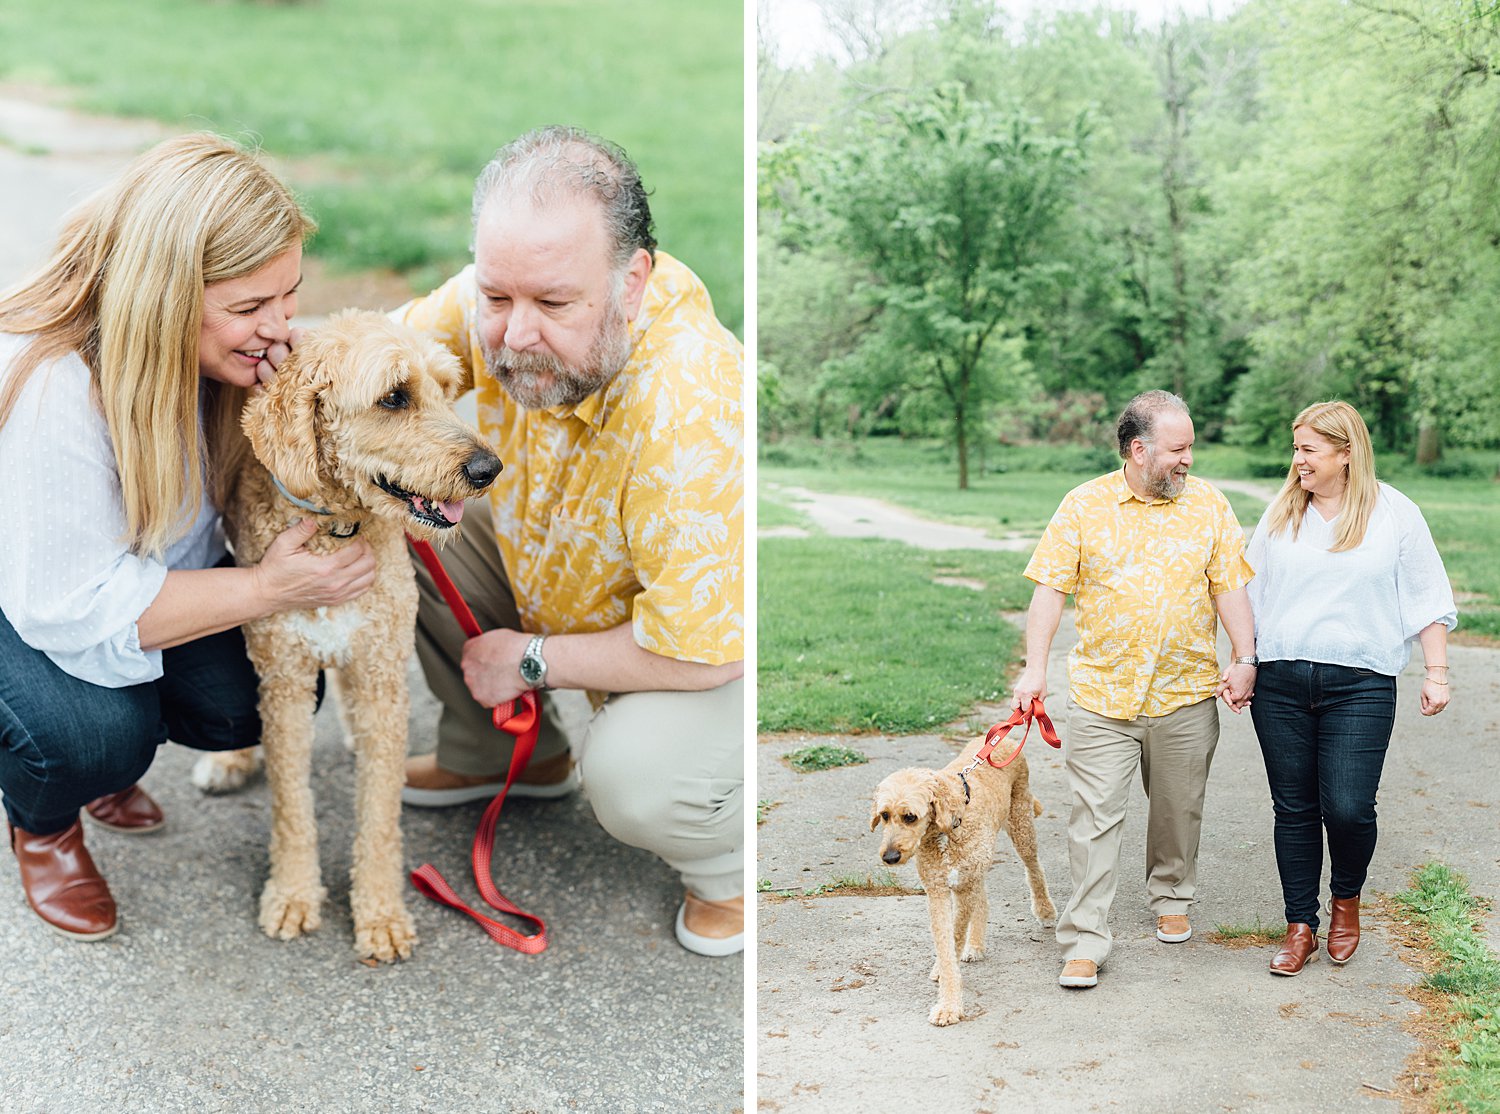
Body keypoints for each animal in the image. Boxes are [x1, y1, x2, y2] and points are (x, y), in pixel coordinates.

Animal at [190, 308, 498, 965]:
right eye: (394, 397)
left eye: (445, 388)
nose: (490, 469)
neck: (338, 527)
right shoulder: (284, 679)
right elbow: (291, 806)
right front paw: (292, 895)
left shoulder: (381, 673)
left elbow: (379, 816)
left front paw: (380, 915)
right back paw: (231, 761)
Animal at [870, 740, 1056, 1025]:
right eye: (884, 815)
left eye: (910, 816)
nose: (889, 857)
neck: (947, 826)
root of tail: (1005, 740)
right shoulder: (939, 891)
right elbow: (946, 946)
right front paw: (947, 996)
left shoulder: (963, 886)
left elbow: (956, 935)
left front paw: (949, 1004)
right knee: (984, 899)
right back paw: (976, 945)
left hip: (1021, 825)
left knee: (1034, 868)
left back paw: (1045, 910)